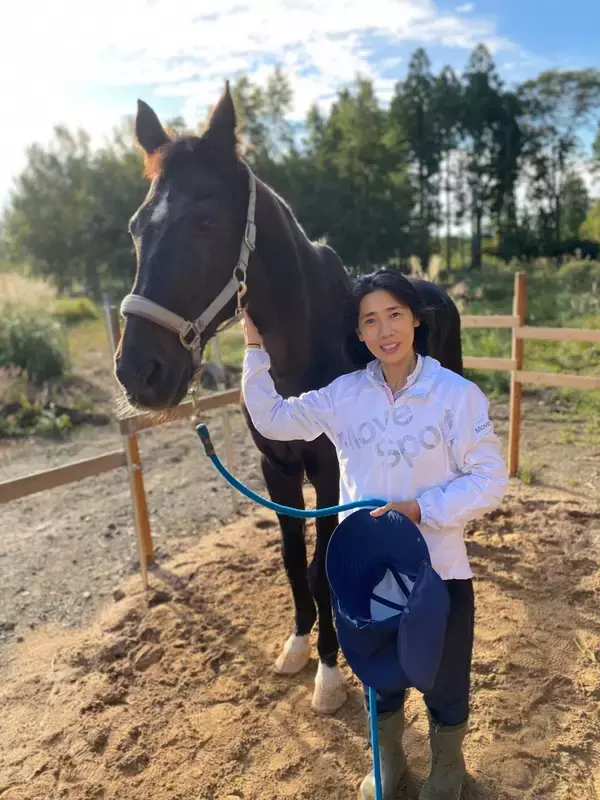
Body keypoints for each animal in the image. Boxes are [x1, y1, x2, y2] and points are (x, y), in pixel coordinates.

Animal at [114, 83, 464, 715]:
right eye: (135, 227)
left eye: (205, 220)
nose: (138, 371)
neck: (303, 346)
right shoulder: (274, 468)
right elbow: (291, 562)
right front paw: (298, 647)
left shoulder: (327, 472)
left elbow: (323, 567)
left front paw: (328, 674)